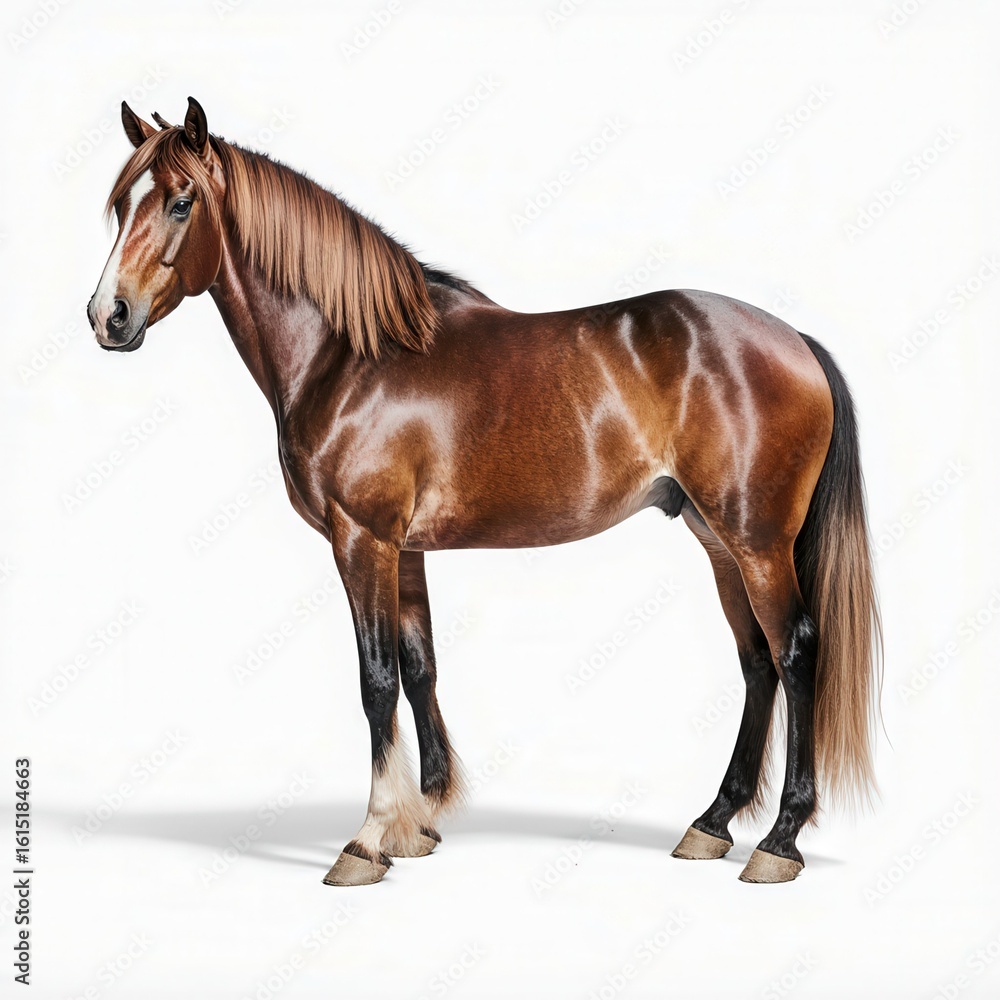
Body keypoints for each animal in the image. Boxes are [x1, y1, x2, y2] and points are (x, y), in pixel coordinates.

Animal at [88, 98, 882, 886]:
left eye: (181, 202)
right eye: (123, 203)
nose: (108, 316)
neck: (351, 356)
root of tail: (796, 340)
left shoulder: (361, 539)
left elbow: (376, 679)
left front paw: (368, 839)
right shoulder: (403, 550)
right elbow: (419, 668)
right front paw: (418, 823)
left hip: (758, 543)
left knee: (796, 654)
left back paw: (779, 841)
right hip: (719, 541)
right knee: (757, 663)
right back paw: (712, 824)